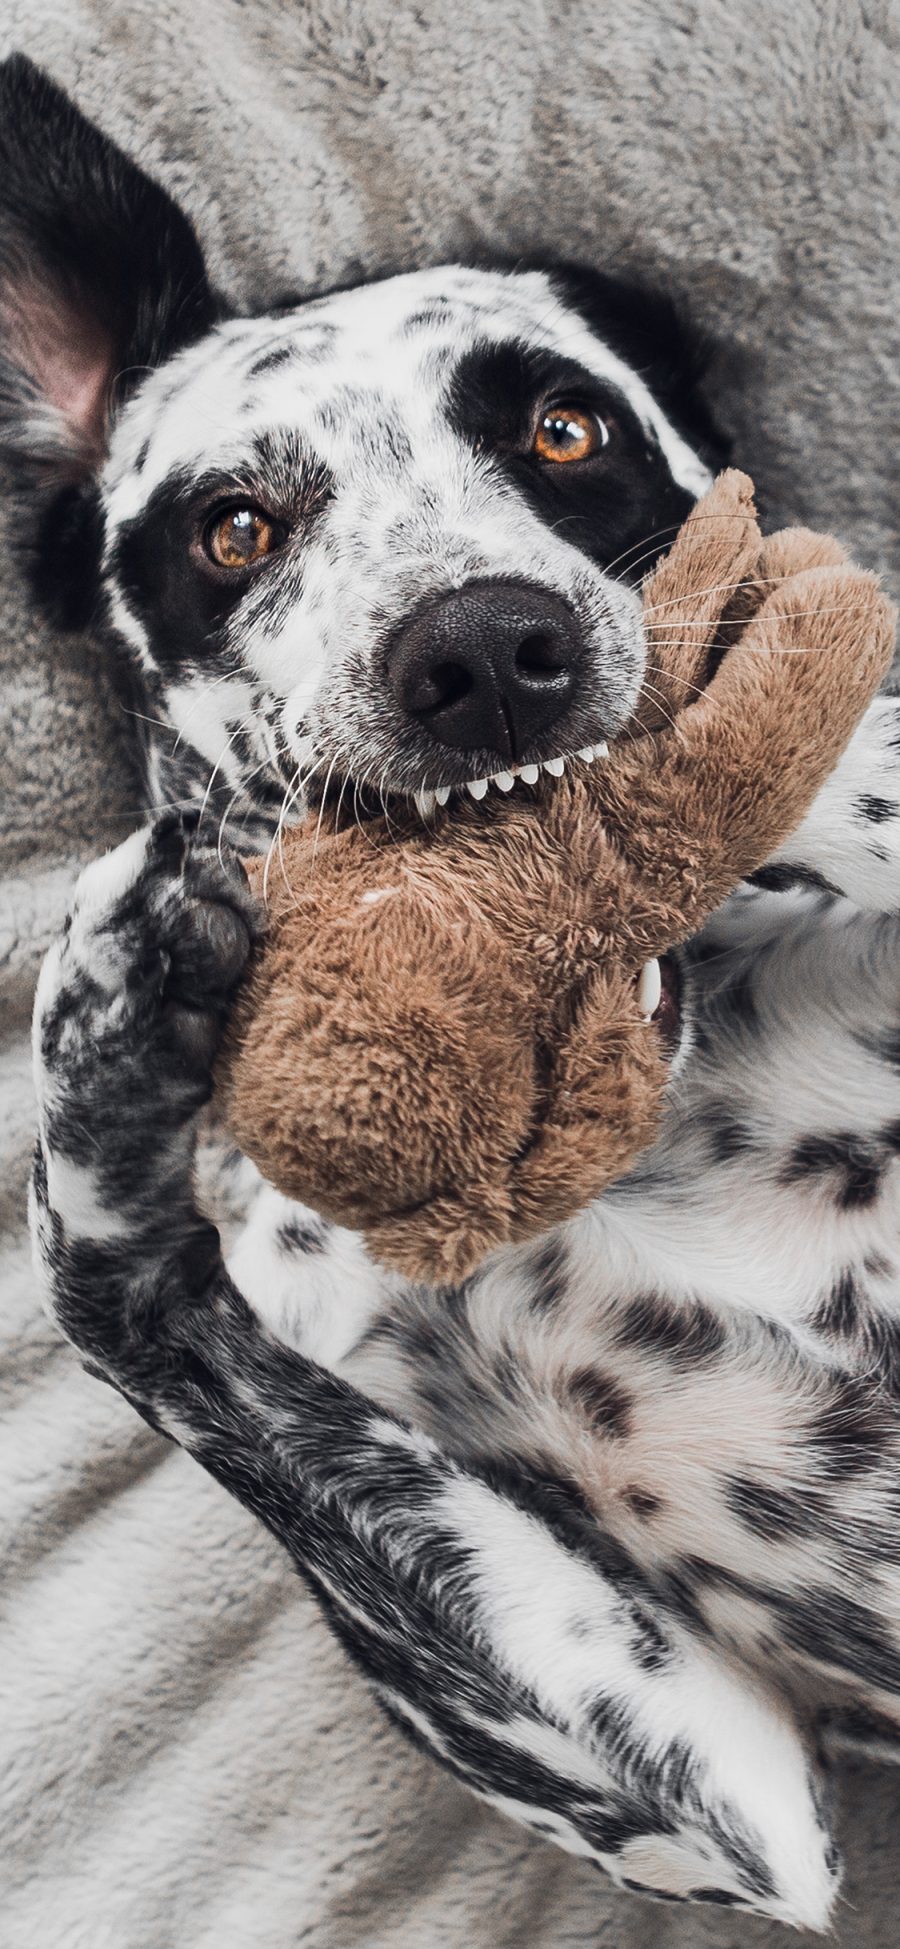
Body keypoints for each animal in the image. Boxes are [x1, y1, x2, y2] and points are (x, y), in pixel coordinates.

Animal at [5, 49, 900, 1933]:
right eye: (236, 526)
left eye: (564, 431)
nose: (485, 648)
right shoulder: (724, 1791)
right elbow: (124, 1292)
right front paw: (106, 1031)